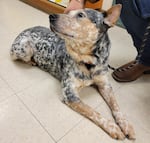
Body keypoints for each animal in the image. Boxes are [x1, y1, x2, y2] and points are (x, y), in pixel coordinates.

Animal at [9, 4, 135, 140]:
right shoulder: (70, 94)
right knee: (17, 58)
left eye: (80, 15)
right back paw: (32, 62)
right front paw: (112, 127)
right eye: (68, 13)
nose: (51, 16)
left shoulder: (105, 85)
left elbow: (116, 106)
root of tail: (26, 29)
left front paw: (126, 124)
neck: (89, 63)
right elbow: (92, 111)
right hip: (24, 48)